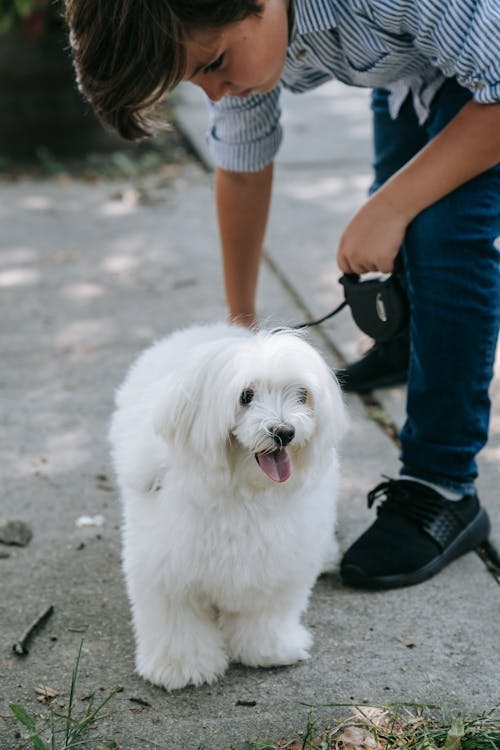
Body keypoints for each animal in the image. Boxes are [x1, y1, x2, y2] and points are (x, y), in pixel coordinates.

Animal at [109, 324, 344, 692]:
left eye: (301, 394)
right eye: (245, 396)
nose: (284, 432)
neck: (242, 492)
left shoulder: (276, 563)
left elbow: (266, 613)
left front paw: (269, 650)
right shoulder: (167, 570)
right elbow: (178, 622)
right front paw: (181, 666)